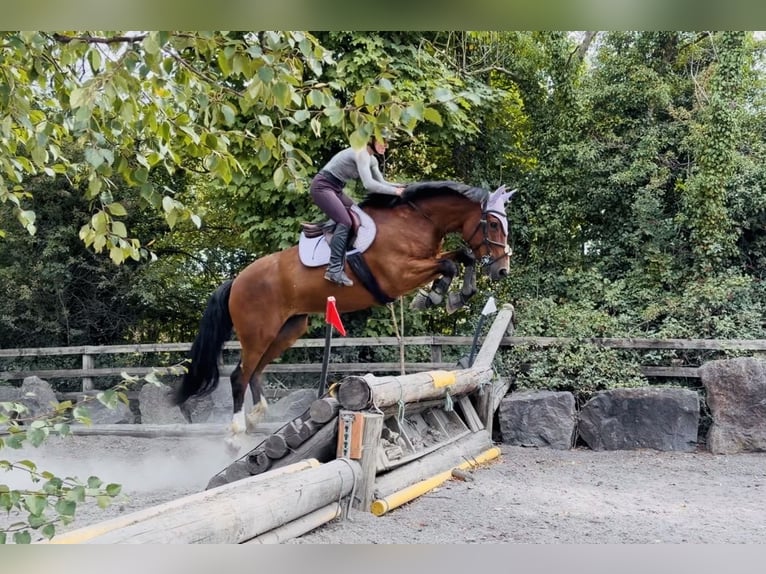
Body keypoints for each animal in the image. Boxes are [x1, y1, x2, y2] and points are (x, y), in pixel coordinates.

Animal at [174, 180, 516, 444]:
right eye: (493, 224)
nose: (502, 271)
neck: (418, 220)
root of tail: (237, 280)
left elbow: (462, 256)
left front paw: (453, 295)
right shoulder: (398, 275)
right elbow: (450, 263)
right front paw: (434, 296)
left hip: (288, 330)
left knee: (255, 371)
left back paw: (256, 416)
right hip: (258, 331)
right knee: (239, 375)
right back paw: (235, 432)